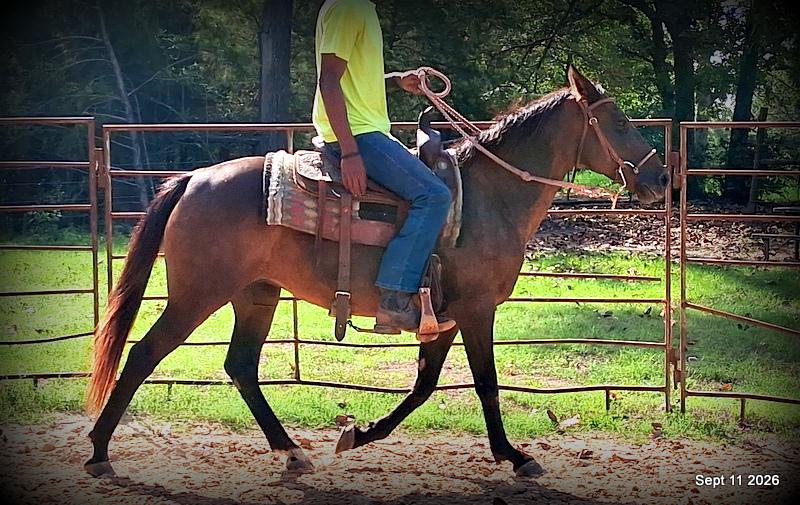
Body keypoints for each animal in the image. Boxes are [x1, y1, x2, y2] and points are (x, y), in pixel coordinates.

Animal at [84, 66, 669, 478]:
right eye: (620, 121)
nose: (663, 178)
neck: (489, 197)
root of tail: (193, 179)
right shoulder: (476, 310)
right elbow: (485, 384)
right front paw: (515, 455)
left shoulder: (444, 317)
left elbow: (425, 386)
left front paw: (360, 435)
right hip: (198, 294)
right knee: (143, 355)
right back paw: (98, 451)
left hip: (256, 294)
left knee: (241, 367)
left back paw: (291, 452)